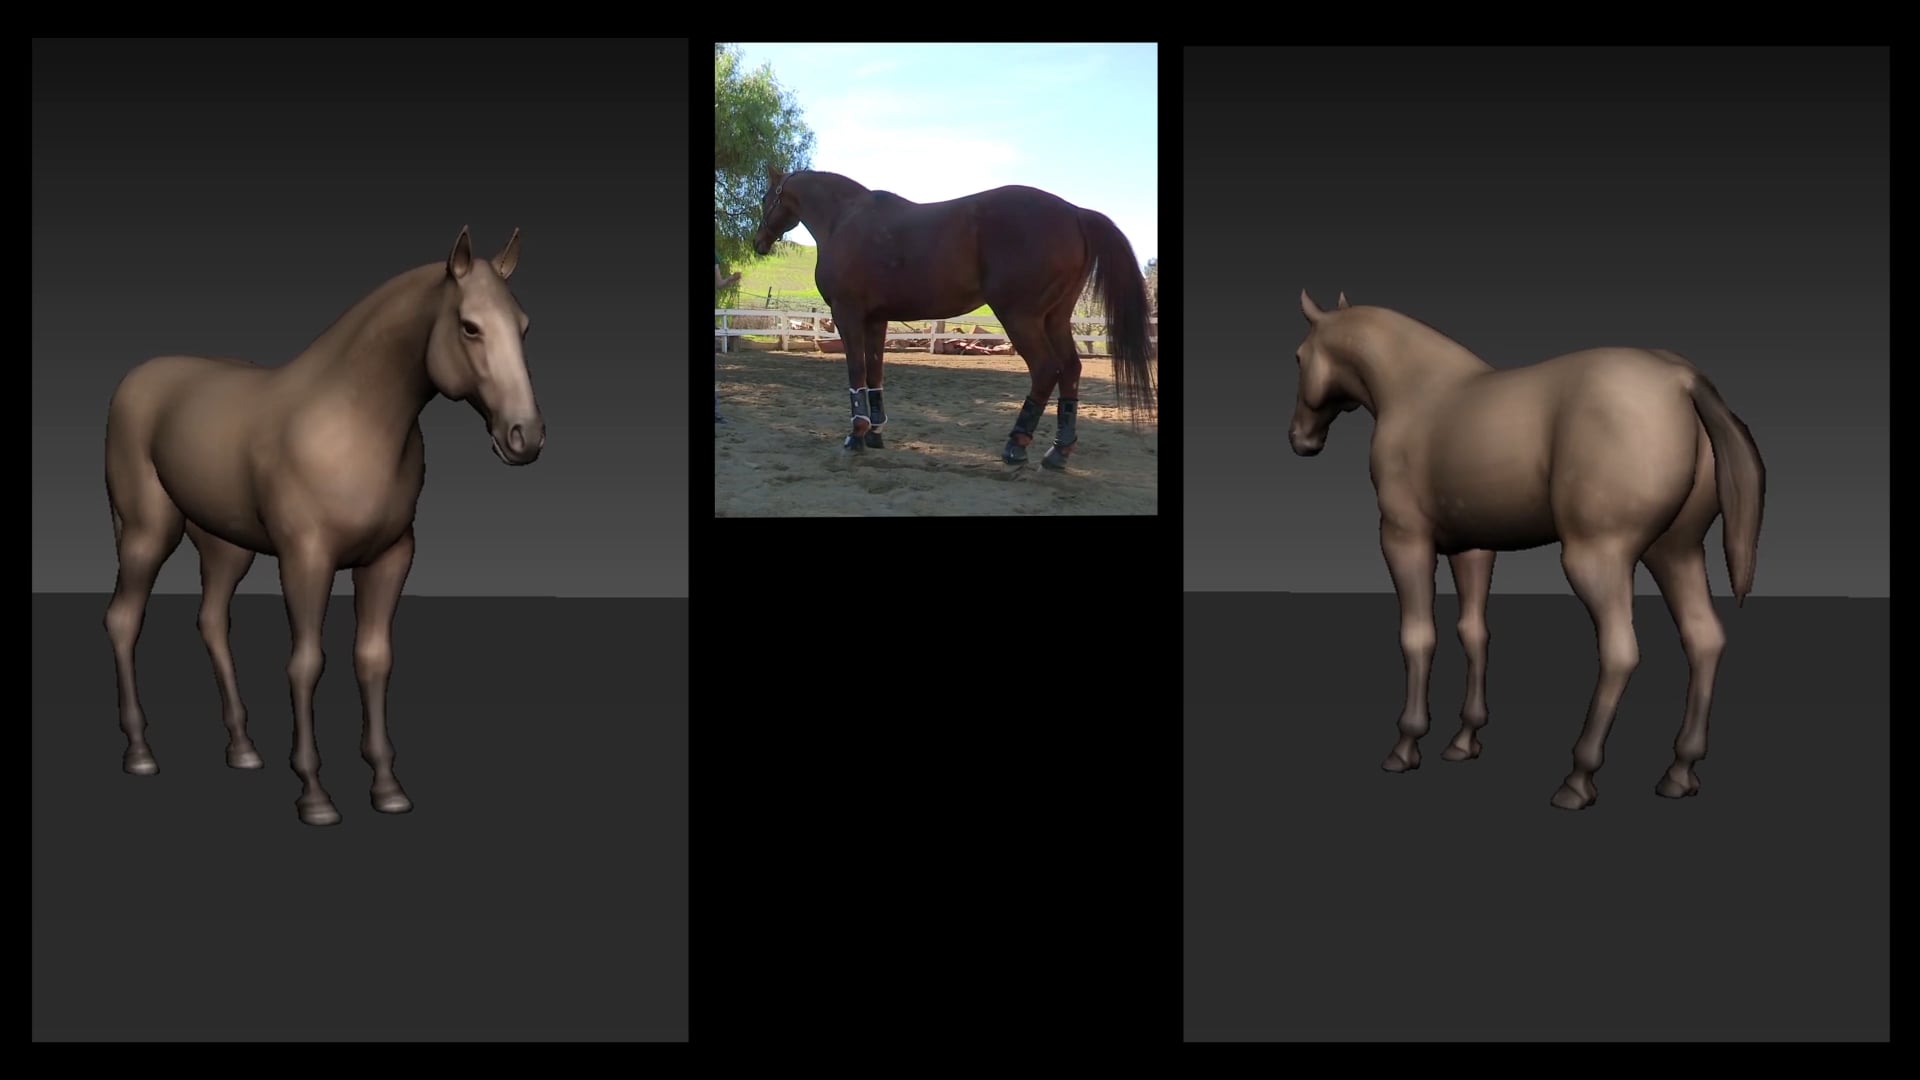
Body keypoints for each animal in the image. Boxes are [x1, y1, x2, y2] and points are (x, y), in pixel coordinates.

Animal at [102, 227, 546, 826]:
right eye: (470, 326)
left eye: (523, 326)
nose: (525, 436)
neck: (352, 422)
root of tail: (135, 378)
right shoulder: (306, 559)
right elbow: (307, 663)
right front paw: (314, 794)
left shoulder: (390, 557)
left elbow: (373, 659)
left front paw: (387, 787)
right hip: (147, 533)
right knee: (124, 619)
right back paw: (140, 752)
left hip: (225, 546)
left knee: (212, 620)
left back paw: (243, 747)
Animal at [750, 166, 1156, 470]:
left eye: (765, 198)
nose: (758, 242)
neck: (844, 219)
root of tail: (1074, 212)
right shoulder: (876, 320)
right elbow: (875, 373)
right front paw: (876, 433)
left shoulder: (847, 314)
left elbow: (856, 373)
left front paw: (857, 435)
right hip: (1054, 317)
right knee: (1070, 369)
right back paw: (1058, 451)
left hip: (1020, 317)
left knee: (1045, 370)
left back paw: (1016, 446)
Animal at [1286, 291, 1766, 810]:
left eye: (1299, 357)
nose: (1299, 439)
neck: (1420, 392)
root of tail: (1682, 380)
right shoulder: (1473, 549)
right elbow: (1474, 632)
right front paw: (1464, 740)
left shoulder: (1404, 540)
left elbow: (1418, 637)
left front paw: (1406, 744)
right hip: (1675, 551)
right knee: (1704, 639)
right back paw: (1680, 772)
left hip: (1599, 557)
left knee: (1620, 652)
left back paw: (1578, 778)